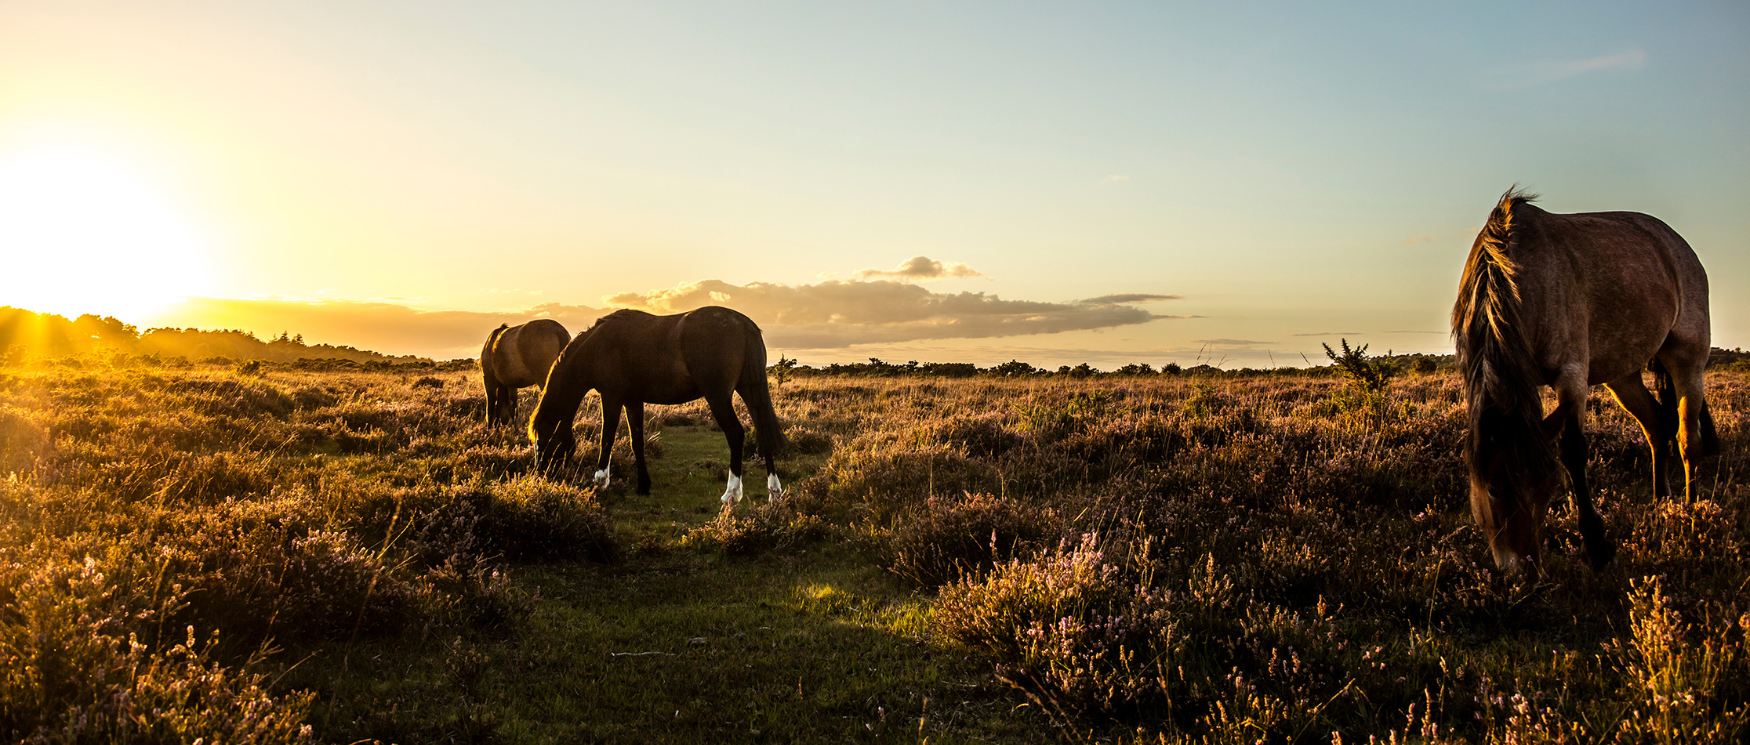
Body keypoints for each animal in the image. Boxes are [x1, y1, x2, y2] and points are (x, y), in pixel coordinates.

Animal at [528, 306, 784, 509]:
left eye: (544, 440)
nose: (539, 475)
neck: (598, 345)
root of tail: (744, 324)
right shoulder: (632, 400)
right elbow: (637, 441)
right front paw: (643, 485)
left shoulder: (611, 397)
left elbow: (607, 438)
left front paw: (600, 482)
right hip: (750, 390)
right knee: (763, 433)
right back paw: (774, 492)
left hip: (718, 396)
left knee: (735, 434)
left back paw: (731, 494)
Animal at [1452, 188, 1716, 577]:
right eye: (1494, 489)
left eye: (1547, 487)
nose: (1527, 572)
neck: (1516, 274)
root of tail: (1679, 246)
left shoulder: (1572, 375)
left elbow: (1574, 452)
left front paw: (1597, 547)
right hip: (1623, 375)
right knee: (1657, 425)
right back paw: (1661, 502)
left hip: (1688, 361)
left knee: (1687, 438)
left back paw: (1692, 512)